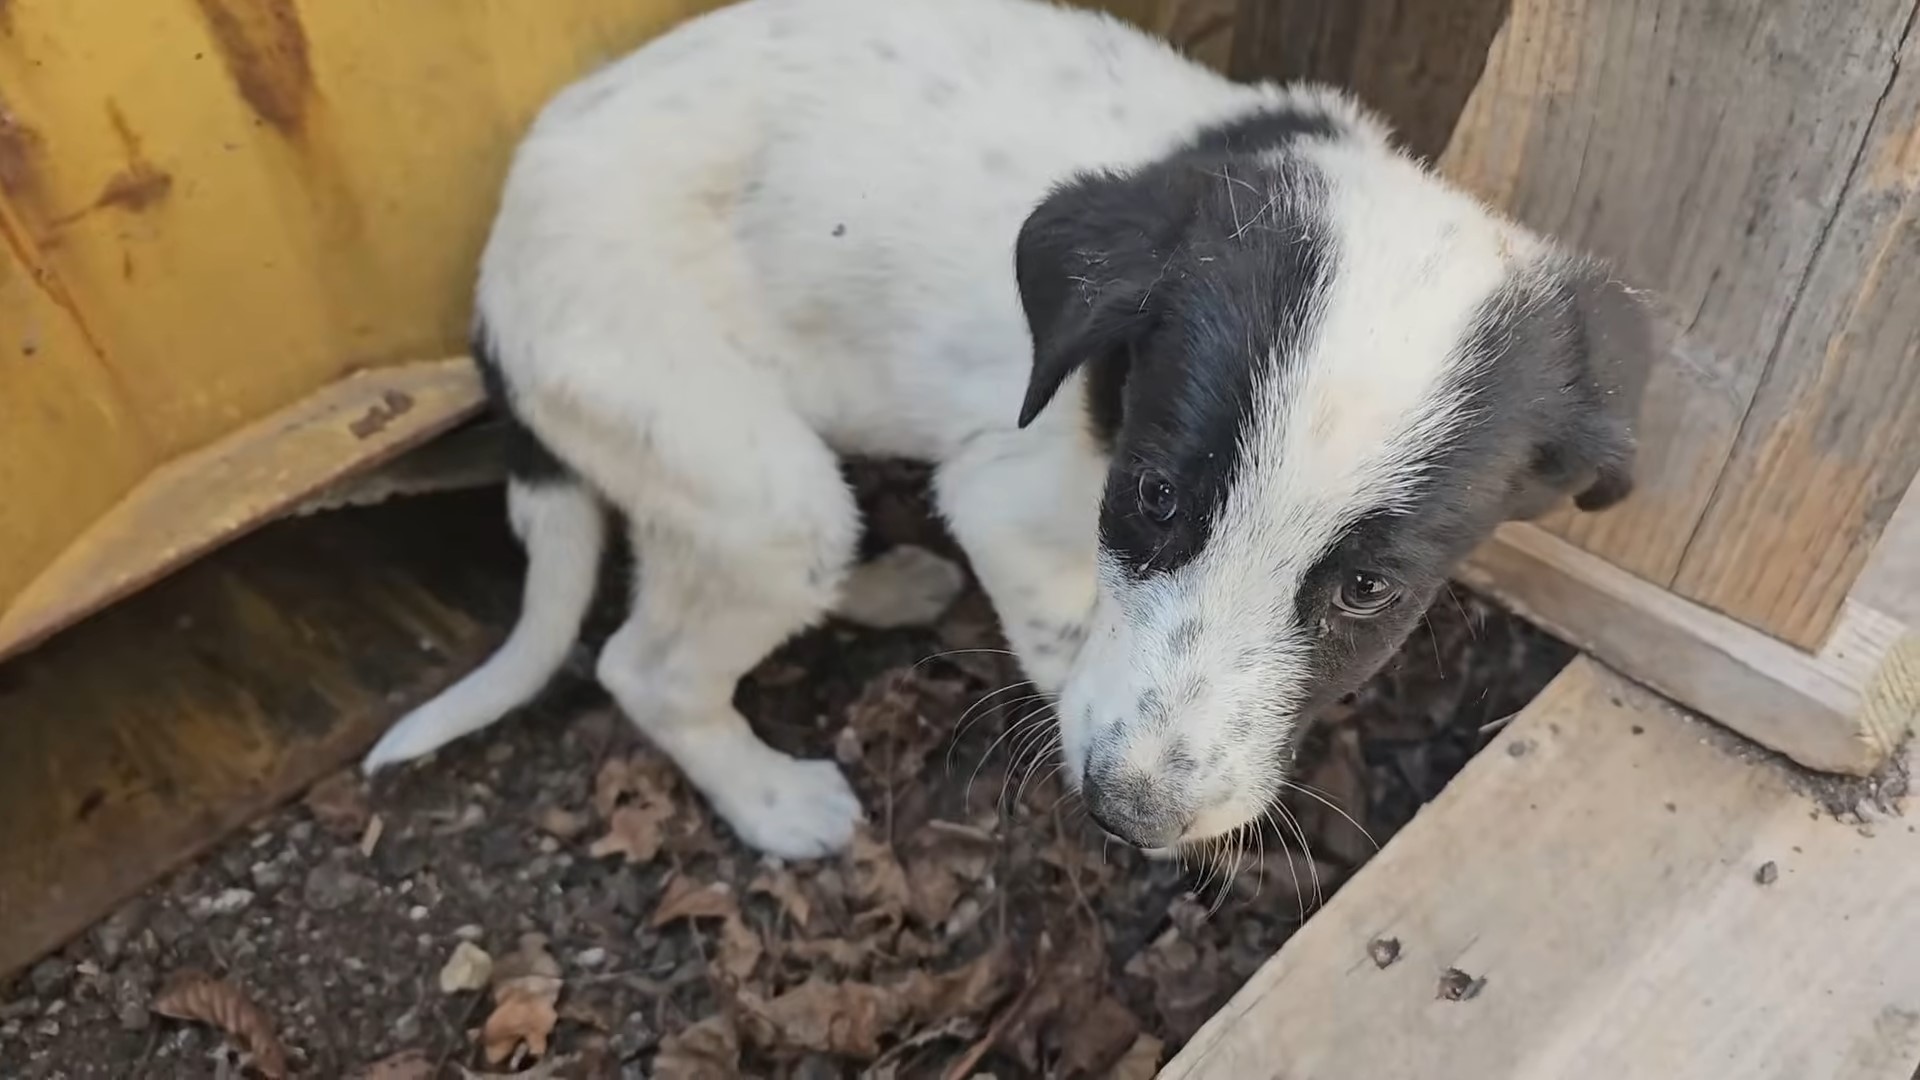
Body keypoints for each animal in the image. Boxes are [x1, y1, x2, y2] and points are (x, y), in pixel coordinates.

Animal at [360, 0, 1651, 857]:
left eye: (1369, 590)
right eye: (1154, 499)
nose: (1130, 819)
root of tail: (493, 283)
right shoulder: (1008, 490)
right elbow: (1065, 631)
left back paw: (886, 587)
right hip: (739, 471)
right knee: (649, 661)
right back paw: (776, 803)